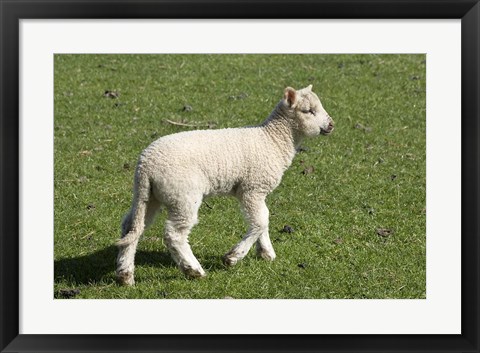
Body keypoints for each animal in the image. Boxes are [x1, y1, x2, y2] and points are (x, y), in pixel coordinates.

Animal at [116, 84, 334, 284]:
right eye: (308, 111)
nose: (331, 125)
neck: (273, 139)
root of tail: (146, 166)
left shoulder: (255, 191)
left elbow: (264, 219)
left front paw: (266, 252)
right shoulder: (252, 188)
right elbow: (260, 221)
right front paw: (233, 257)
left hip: (149, 196)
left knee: (132, 227)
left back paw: (125, 274)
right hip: (183, 196)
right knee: (174, 235)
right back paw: (193, 270)